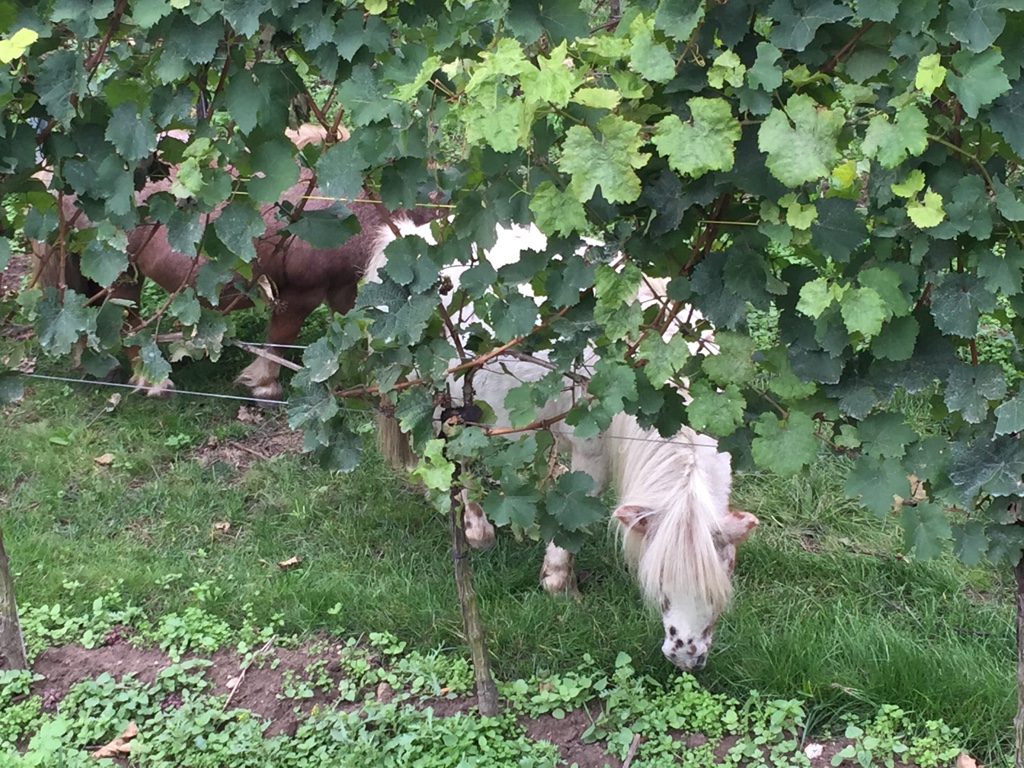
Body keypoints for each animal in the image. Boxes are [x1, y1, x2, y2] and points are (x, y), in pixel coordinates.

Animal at [364, 219, 757, 671]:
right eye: (658, 583)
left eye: (721, 585)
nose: (686, 657)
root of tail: (406, 235)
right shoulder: (592, 452)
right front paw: (558, 585)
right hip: (440, 404)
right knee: (456, 464)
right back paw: (476, 528)